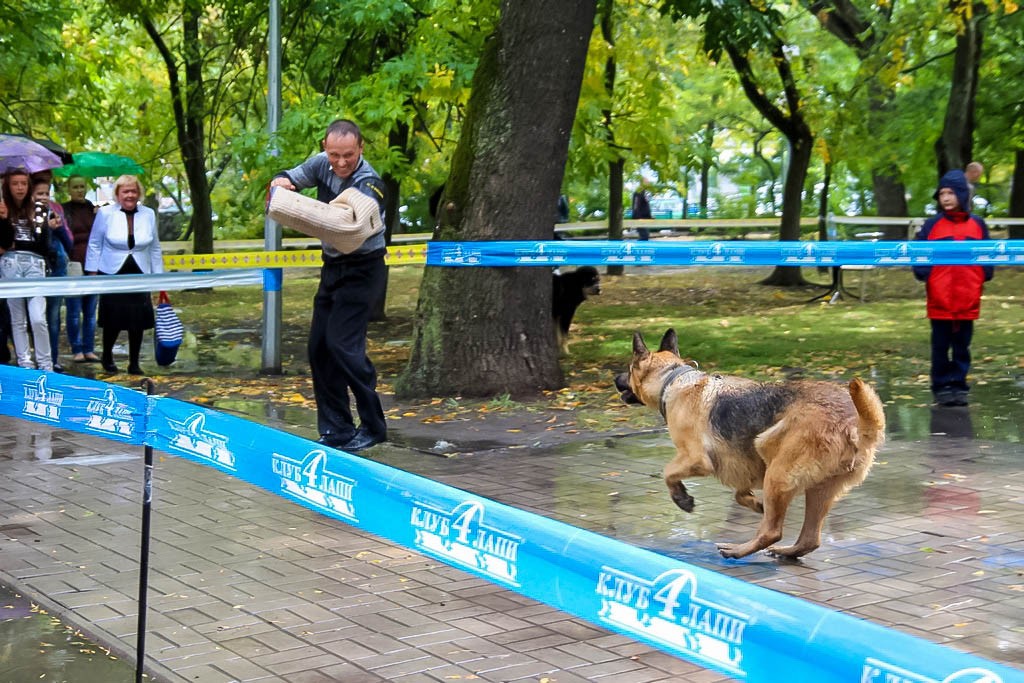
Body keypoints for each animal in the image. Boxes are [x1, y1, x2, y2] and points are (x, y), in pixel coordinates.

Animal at [610, 331, 884, 561]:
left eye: (628, 368)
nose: (614, 378)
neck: (673, 378)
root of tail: (856, 424)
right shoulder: (742, 464)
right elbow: (740, 494)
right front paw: (756, 503)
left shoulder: (696, 459)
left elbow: (668, 473)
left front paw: (682, 498)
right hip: (816, 488)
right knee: (809, 539)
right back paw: (784, 550)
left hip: (775, 468)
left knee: (772, 531)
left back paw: (737, 550)